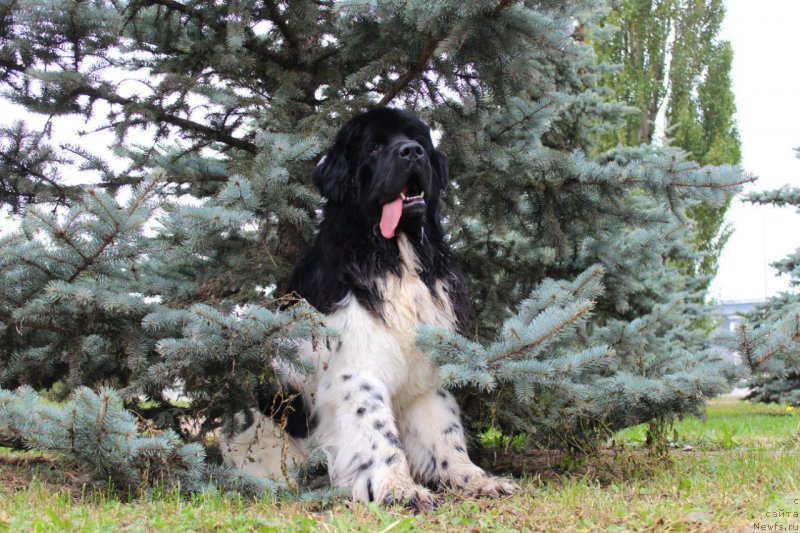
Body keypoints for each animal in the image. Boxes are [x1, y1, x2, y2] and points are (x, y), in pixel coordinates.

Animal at [222, 107, 516, 508]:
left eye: (418, 140)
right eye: (374, 147)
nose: (411, 152)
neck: (395, 255)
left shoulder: (424, 372)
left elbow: (444, 430)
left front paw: (473, 478)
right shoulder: (356, 370)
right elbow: (376, 430)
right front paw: (399, 488)